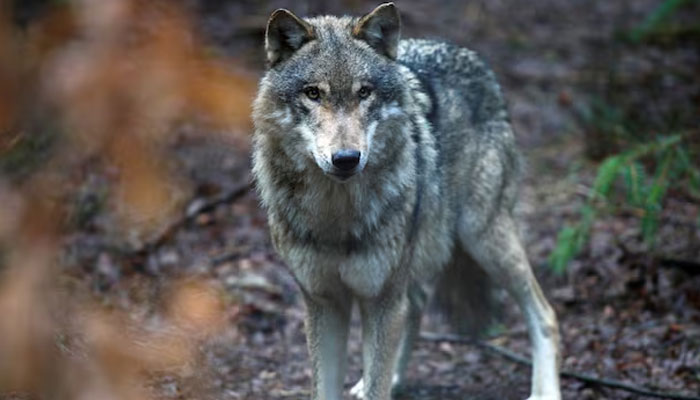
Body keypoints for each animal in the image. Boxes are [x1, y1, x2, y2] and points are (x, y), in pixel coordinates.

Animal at [251, 3, 561, 399]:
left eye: (364, 92)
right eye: (313, 93)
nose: (346, 158)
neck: (336, 216)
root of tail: (473, 57)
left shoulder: (381, 297)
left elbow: (377, 383)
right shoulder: (323, 301)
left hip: (483, 239)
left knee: (545, 314)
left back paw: (545, 390)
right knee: (416, 305)